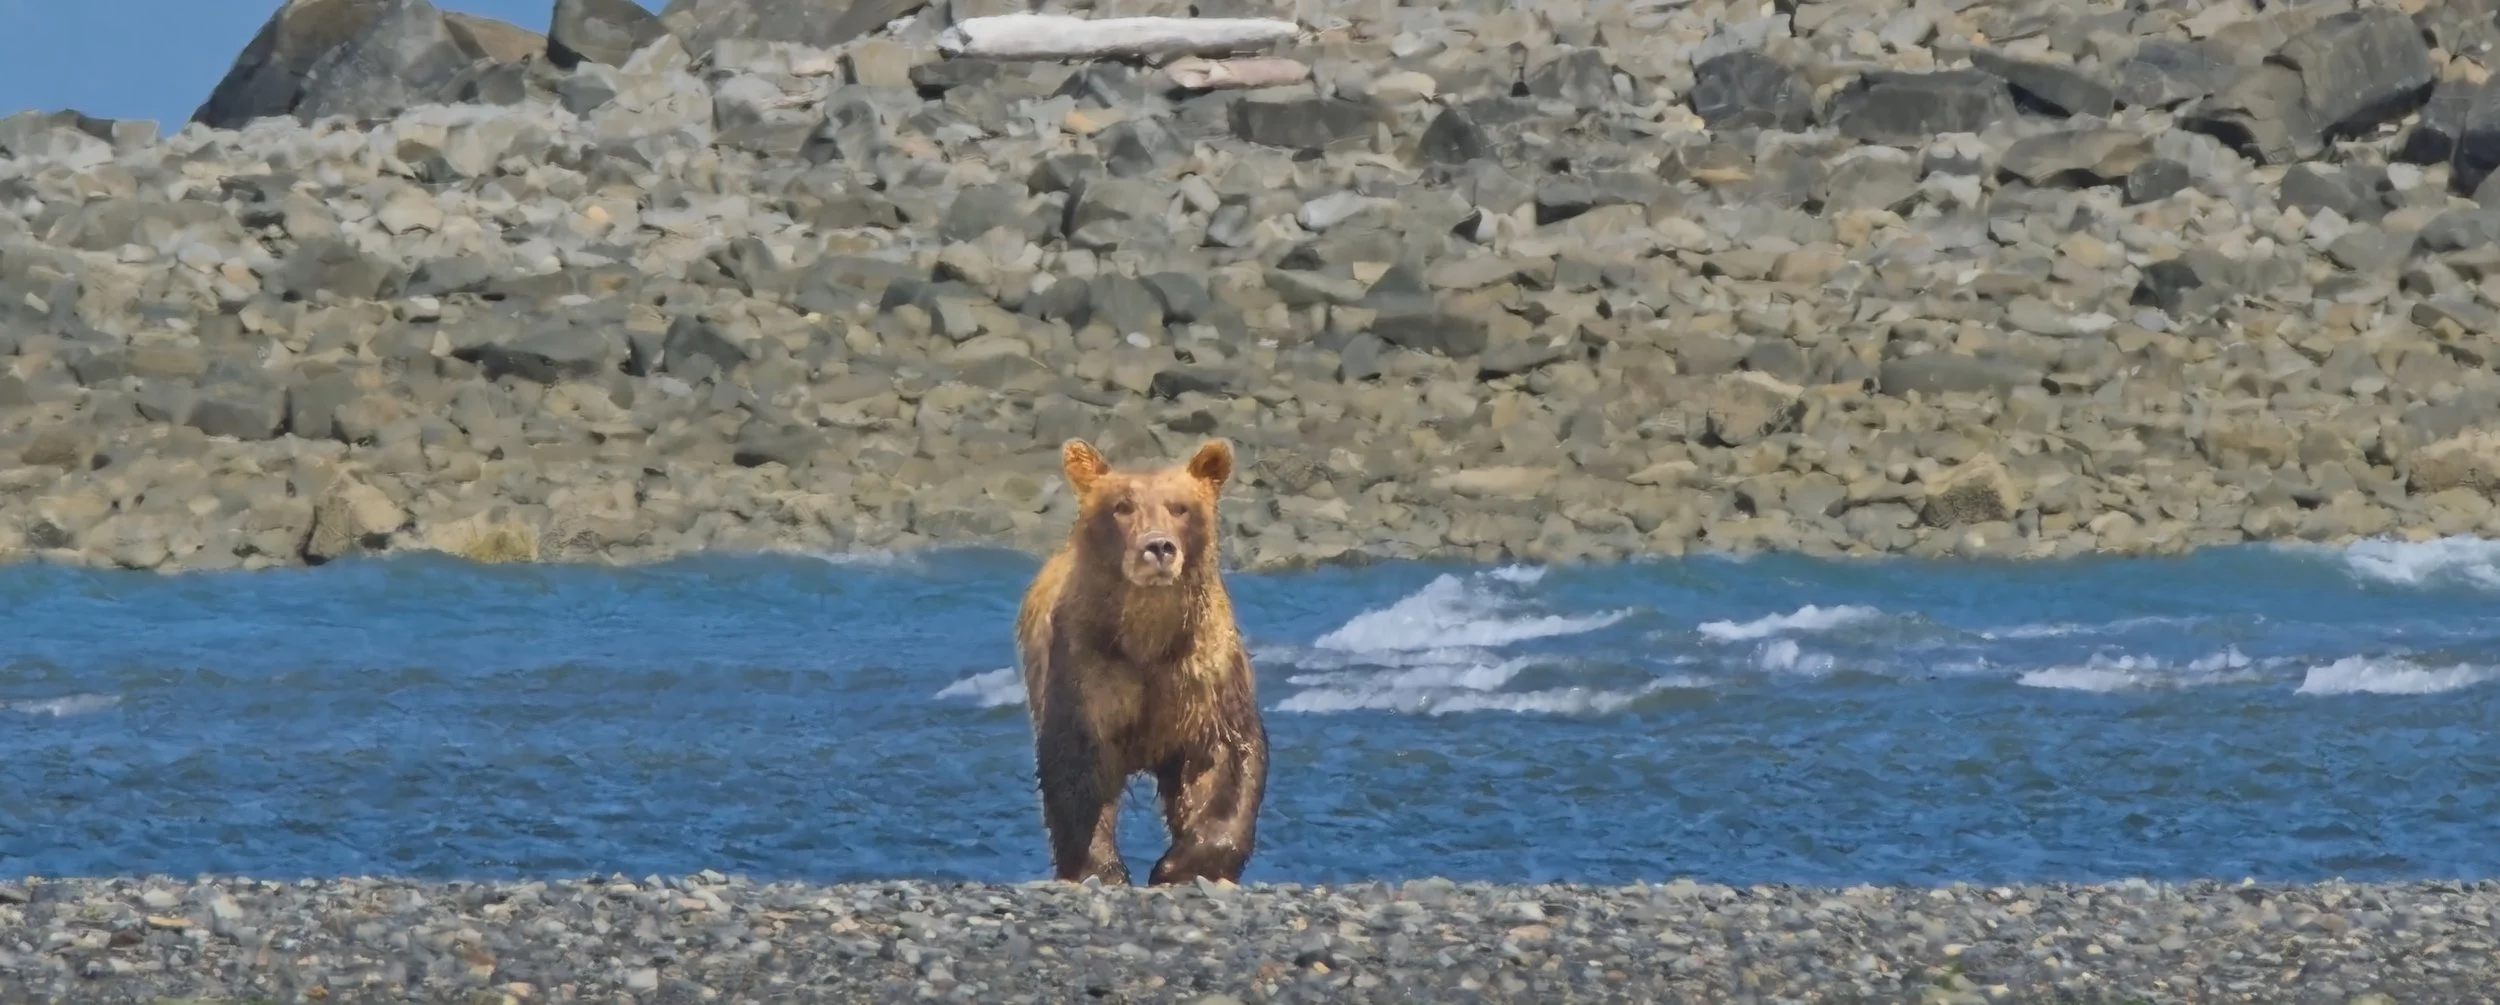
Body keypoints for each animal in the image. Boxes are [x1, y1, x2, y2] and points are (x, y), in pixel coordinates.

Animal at [1013, 436, 1270, 887]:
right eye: (1122, 506)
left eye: (1180, 506)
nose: (1159, 546)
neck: (1148, 639)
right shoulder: (1090, 670)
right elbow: (1077, 763)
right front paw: (1101, 868)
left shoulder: (1202, 673)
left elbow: (1226, 755)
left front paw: (1179, 865)